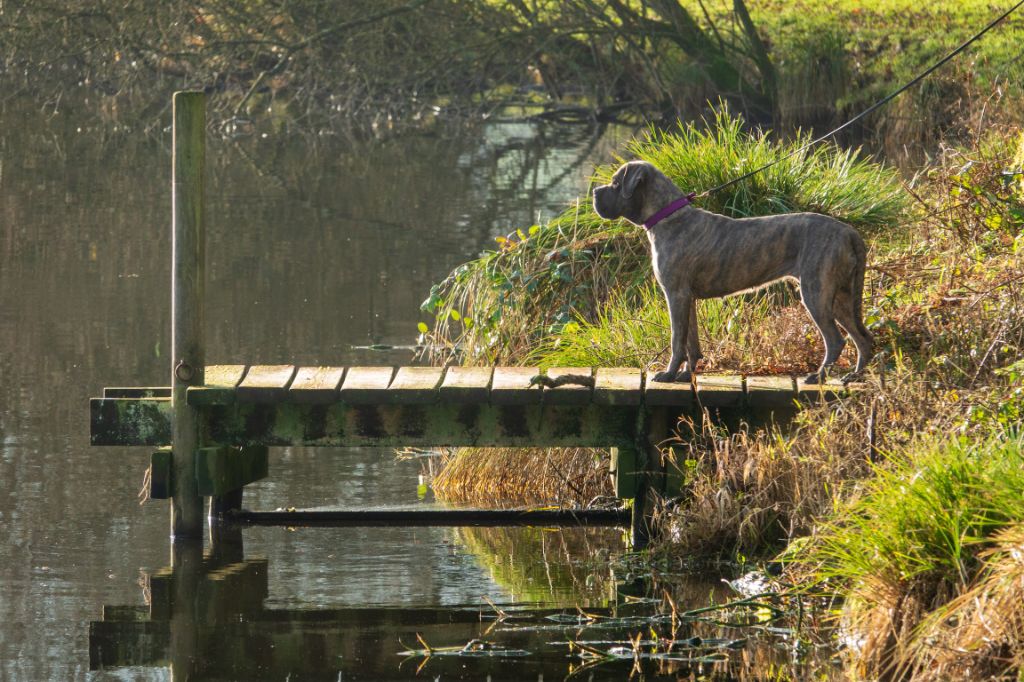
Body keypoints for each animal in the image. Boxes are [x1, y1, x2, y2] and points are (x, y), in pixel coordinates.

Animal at [593, 159, 872, 382]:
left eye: (616, 184)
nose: (595, 191)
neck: (667, 217)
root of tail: (848, 232)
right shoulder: (687, 298)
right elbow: (691, 341)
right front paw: (686, 374)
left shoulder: (676, 294)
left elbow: (676, 340)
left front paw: (669, 374)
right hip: (840, 296)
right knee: (863, 338)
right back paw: (854, 376)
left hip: (816, 293)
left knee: (836, 340)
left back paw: (819, 376)